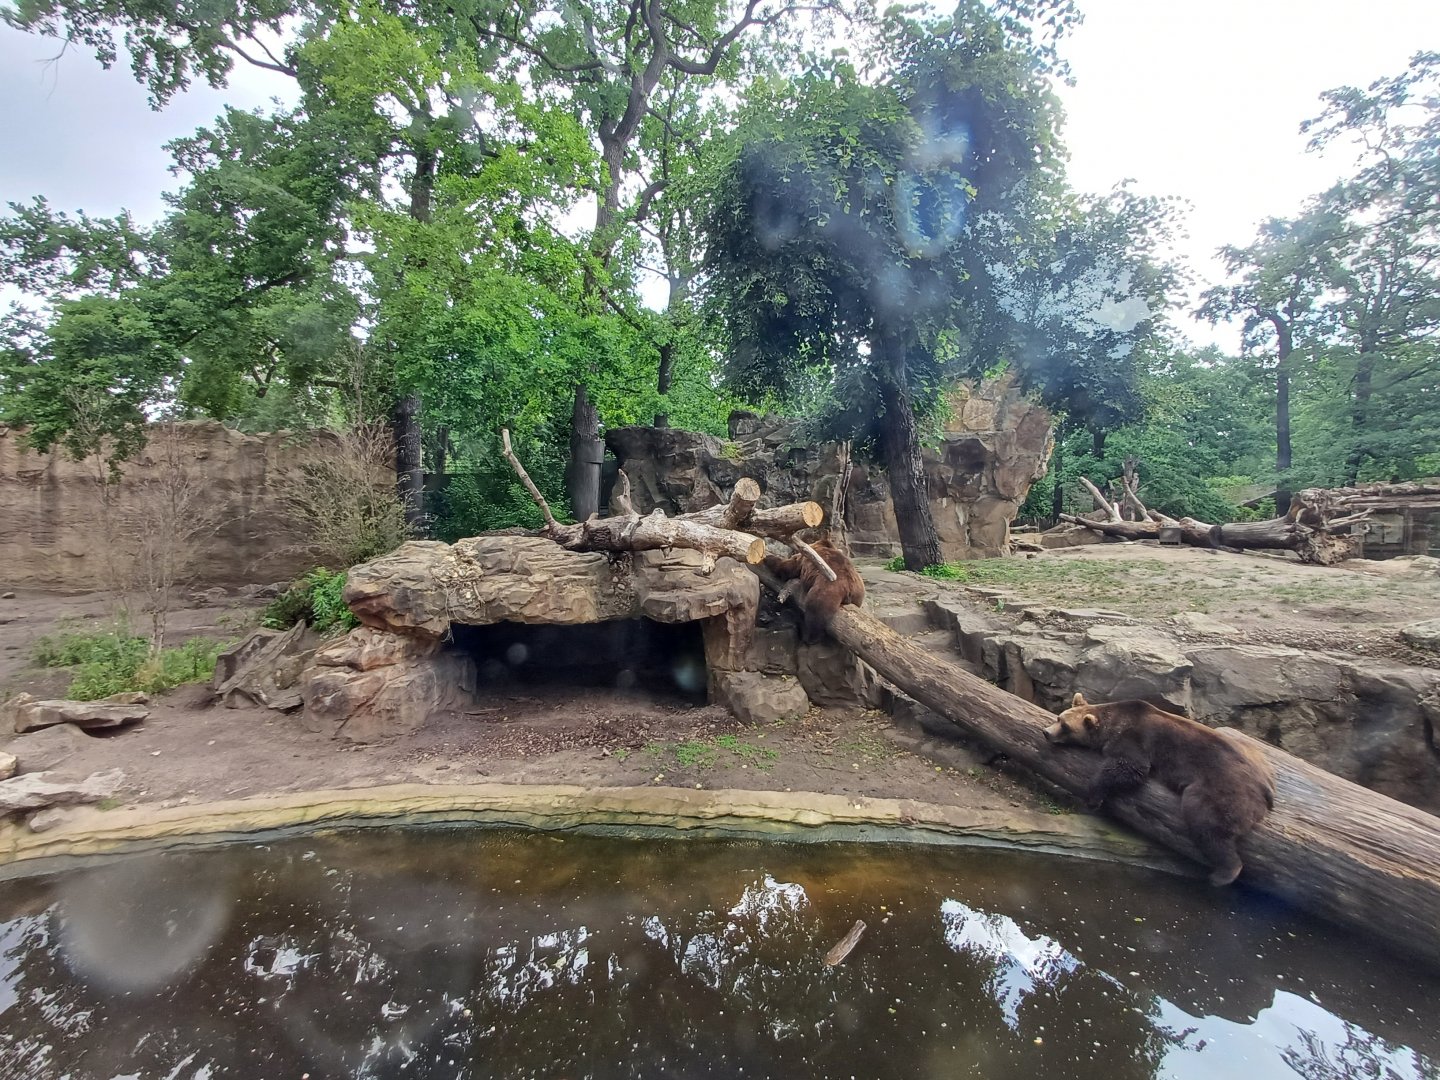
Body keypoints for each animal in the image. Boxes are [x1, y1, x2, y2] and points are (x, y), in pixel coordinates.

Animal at [1043, 692, 1275, 886]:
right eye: (1059, 718)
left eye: (1065, 726)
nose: (1046, 732)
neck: (1112, 723)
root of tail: (1264, 788)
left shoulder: (1134, 738)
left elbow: (1129, 766)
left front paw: (1093, 797)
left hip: (1221, 788)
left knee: (1208, 823)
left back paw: (1223, 874)